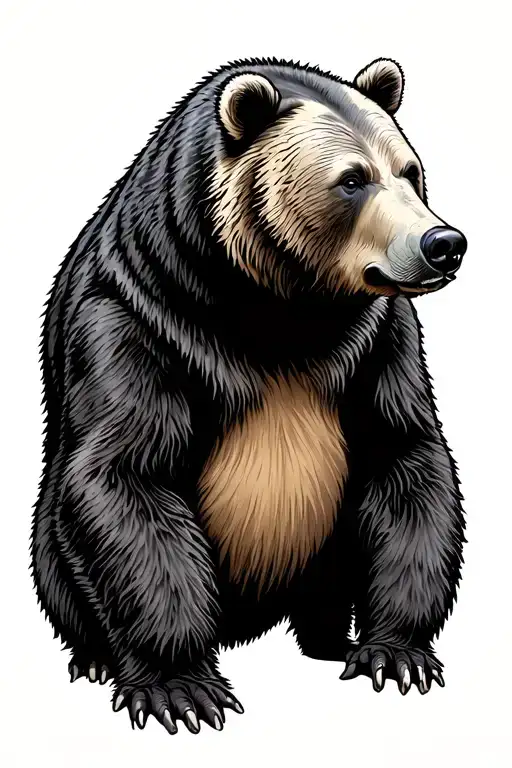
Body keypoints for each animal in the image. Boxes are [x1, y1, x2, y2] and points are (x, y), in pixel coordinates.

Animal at [32, 56, 467, 736]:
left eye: (410, 172)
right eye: (352, 180)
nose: (442, 243)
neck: (278, 307)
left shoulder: (376, 340)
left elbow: (403, 454)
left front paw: (397, 653)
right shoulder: (139, 322)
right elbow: (126, 475)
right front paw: (181, 686)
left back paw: (329, 639)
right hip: (53, 542)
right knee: (58, 555)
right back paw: (98, 659)